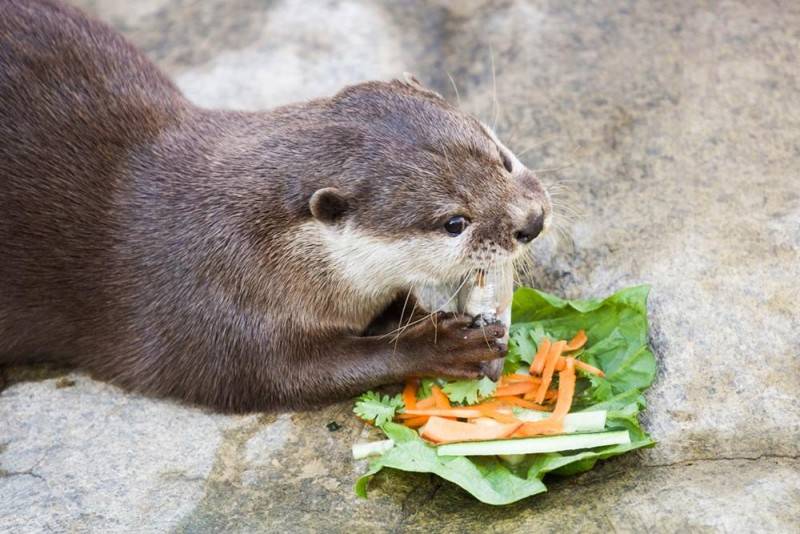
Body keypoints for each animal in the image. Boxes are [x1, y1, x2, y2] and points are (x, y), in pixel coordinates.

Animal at [0, 0, 552, 414]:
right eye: (454, 222)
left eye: (501, 158)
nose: (533, 221)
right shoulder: (213, 314)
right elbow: (287, 377)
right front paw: (443, 344)